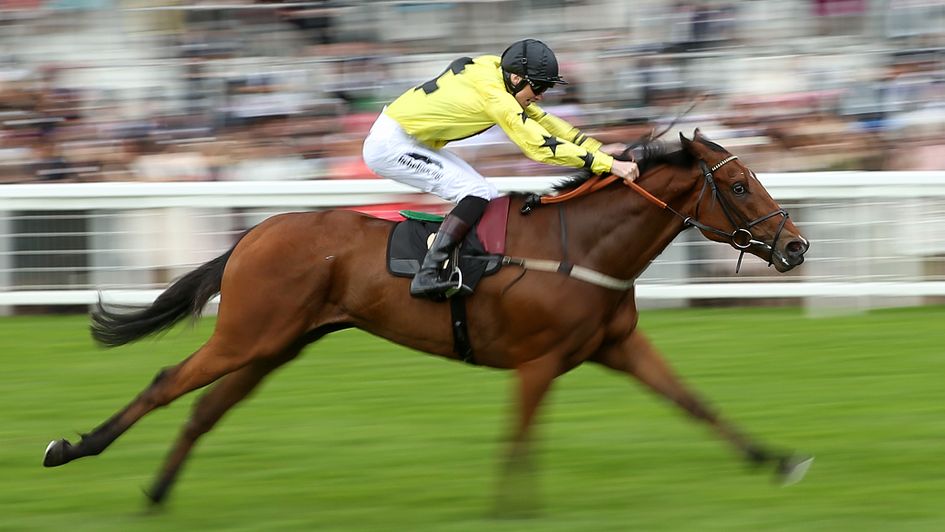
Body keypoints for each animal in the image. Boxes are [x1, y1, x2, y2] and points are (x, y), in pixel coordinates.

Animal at [42, 129, 812, 508]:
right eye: (739, 184)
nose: (795, 246)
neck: (582, 245)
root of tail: (255, 232)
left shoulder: (615, 346)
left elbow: (695, 403)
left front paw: (778, 460)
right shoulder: (537, 363)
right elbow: (518, 439)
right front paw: (509, 510)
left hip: (275, 344)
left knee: (205, 410)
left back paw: (157, 493)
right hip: (248, 334)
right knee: (168, 382)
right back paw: (72, 449)